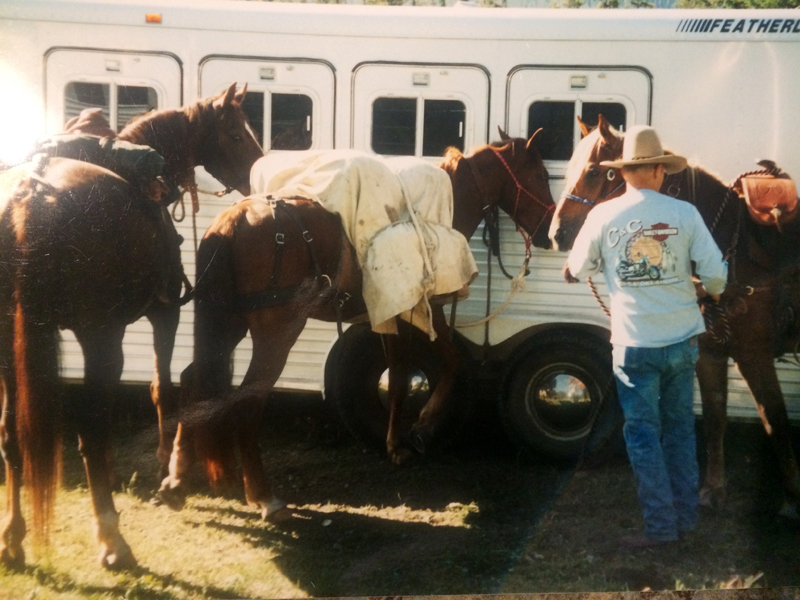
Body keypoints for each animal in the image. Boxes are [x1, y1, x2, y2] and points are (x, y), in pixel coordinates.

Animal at [0, 82, 262, 568]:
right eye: (236, 134)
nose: (258, 174)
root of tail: (32, 194)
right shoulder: (165, 313)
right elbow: (163, 387)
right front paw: (165, 470)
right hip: (101, 337)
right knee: (90, 432)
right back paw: (112, 538)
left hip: (9, 340)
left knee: (10, 435)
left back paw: (13, 536)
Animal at [159, 131, 552, 520]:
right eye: (543, 175)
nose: (552, 233)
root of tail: (233, 222)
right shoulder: (422, 312)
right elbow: (446, 365)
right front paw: (422, 428)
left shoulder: (391, 316)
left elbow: (398, 382)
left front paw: (396, 444)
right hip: (276, 335)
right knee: (247, 401)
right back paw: (263, 496)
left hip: (226, 324)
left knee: (194, 379)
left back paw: (176, 478)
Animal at [548, 116, 800, 516]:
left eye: (593, 171)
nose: (557, 234)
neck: (729, 247)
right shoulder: (710, 352)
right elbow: (714, 417)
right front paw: (712, 490)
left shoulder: (754, 354)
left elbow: (774, 420)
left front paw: (792, 499)